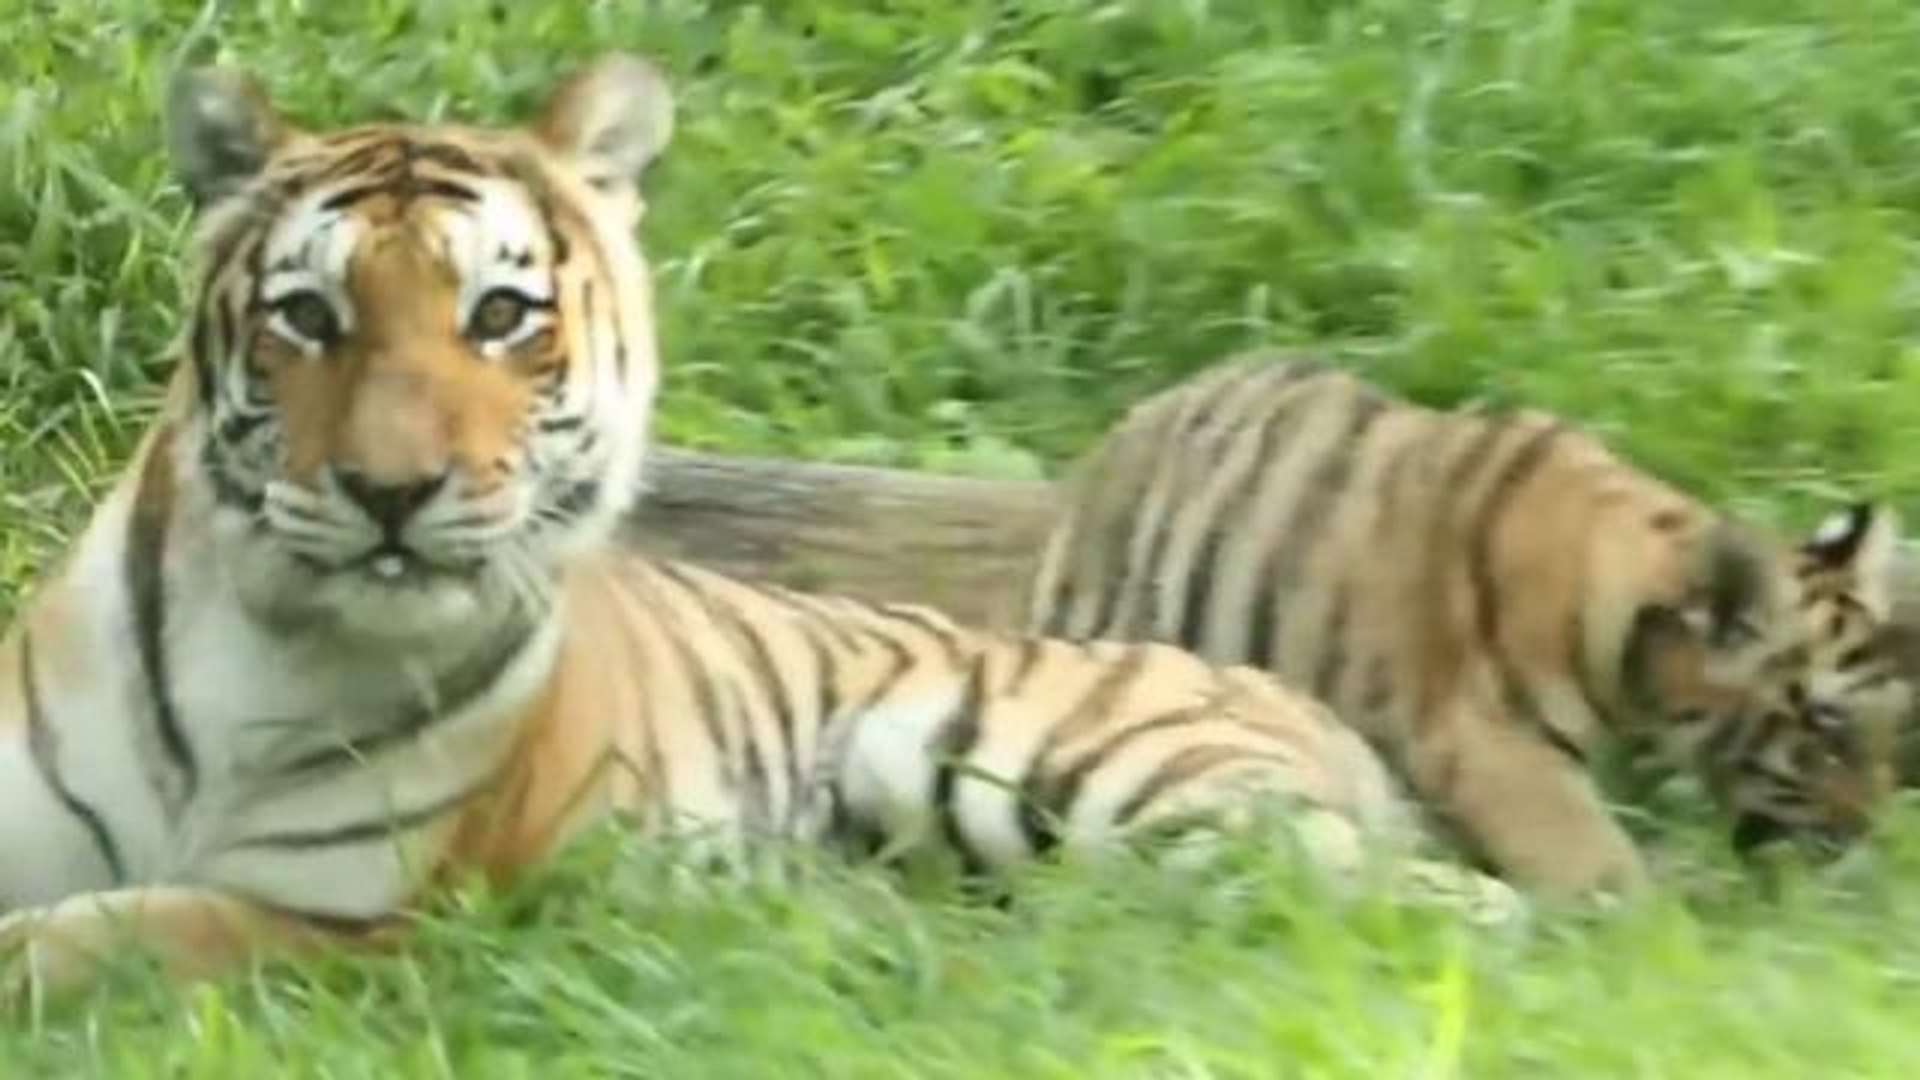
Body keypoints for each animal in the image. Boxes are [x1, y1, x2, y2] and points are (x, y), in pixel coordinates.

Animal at [0, 56, 1526, 1004]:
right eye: (309, 316)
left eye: (501, 314)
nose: (391, 490)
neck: (258, 645)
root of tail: (1280, 690)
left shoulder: (352, 912)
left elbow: (100, 938)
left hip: (1079, 772)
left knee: (1434, 906)